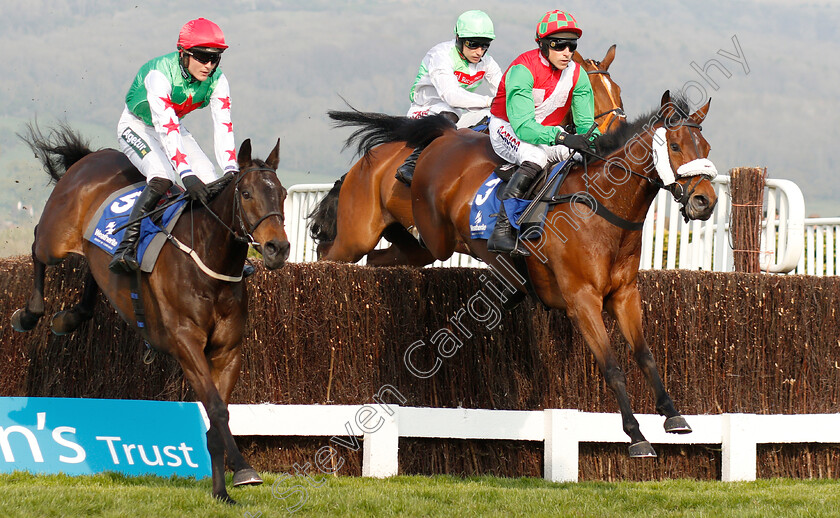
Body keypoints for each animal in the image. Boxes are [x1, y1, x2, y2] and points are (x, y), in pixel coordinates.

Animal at [9, 126, 292, 504]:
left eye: (283, 194)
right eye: (246, 194)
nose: (278, 249)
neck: (208, 261)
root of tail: (93, 155)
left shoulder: (228, 351)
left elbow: (217, 416)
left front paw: (221, 491)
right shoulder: (185, 344)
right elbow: (217, 409)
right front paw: (244, 470)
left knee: (93, 274)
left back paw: (71, 316)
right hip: (55, 237)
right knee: (37, 248)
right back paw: (29, 314)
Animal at [310, 45, 624, 268]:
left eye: (618, 91)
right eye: (591, 94)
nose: (615, 133)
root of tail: (362, 165)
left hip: (407, 240)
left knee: (377, 259)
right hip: (357, 235)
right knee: (327, 253)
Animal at [324, 91, 720, 458]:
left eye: (706, 146)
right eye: (674, 145)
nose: (706, 201)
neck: (602, 209)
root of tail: (445, 136)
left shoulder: (624, 295)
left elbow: (645, 354)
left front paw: (673, 415)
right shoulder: (582, 300)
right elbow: (611, 367)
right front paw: (637, 436)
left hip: (426, 246)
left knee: (384, 257)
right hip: (401, 235)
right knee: (338, 257)